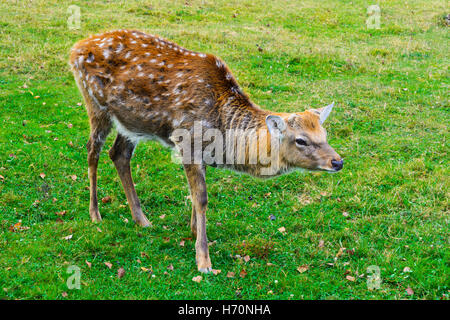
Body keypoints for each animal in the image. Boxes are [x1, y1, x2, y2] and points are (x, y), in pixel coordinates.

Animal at [69, 30, 344, 274]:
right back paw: (95, 213)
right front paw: (203, 261)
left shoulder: (200, 151)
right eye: (301, 140)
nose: (338, 161)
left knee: (119, 153)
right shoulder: (187, 141)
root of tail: (75, 49)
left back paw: (141, 219)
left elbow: (194, 195)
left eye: (325, 134)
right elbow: (201, 198)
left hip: (130, 122)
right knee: (92, 150)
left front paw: (193, 232)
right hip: (95, 103)